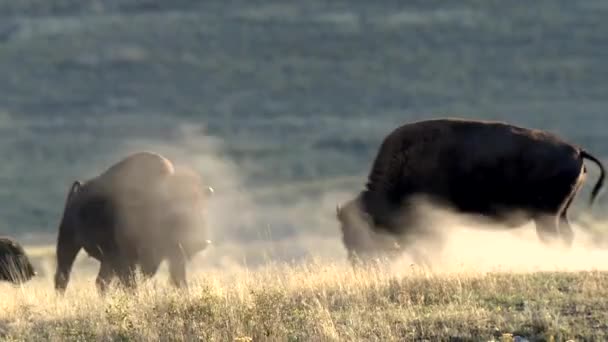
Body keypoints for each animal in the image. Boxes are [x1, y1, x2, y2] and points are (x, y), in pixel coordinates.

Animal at [53, 152, 214, 294]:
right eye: (177, 211)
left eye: (203, 208)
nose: (198, 242)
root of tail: (79, 189)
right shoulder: (129, 257)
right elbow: (130, 282)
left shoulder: (169, 254)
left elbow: (177, 278)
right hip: (67, 243)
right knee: (63, 276)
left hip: (107, 259)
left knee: (101, 282)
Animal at [334, 119, 604, 266]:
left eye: (358, 234)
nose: (359, 265)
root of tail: (577, 150)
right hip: (560, 214)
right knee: (567, 238)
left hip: (547, 217)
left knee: (554, 239)